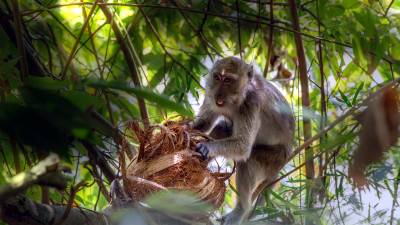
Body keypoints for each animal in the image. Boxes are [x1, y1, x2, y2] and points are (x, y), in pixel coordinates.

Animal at [194, 56, 294, 225]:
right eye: (217, 77)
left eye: (227, 80)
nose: (218, 94)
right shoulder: (210, 94)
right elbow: (204, 123)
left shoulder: (252, 104)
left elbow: (243, 147)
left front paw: (207, 147)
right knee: (221, 129)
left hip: (276, 159)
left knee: (249, 159)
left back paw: (241, 209)